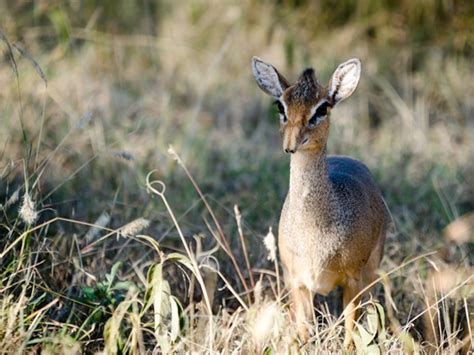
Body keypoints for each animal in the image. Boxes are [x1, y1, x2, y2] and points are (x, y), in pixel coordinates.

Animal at [252, 57, 388, 350]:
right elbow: (304, 335)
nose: (291, 144)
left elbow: (350, 337)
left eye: (322, 107)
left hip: (371, 273)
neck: (314, 233)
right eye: (280, 105)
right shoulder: (297, 281)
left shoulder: (353, 279)